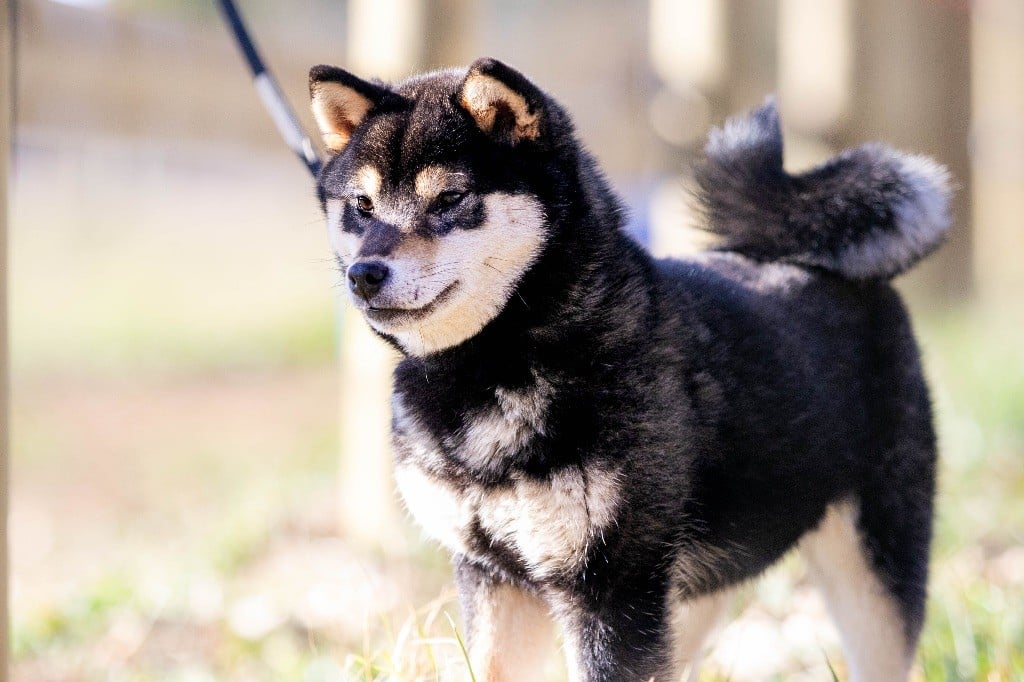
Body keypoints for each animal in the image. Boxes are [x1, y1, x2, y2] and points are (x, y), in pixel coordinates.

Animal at [307, 58, 946, 679]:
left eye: (448, 200)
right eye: (361, 207)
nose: (364, 273)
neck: (492, 368)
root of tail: (813, 260)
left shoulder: (610, 587)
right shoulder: (494, 576)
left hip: (870, 570)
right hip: (692, 596)